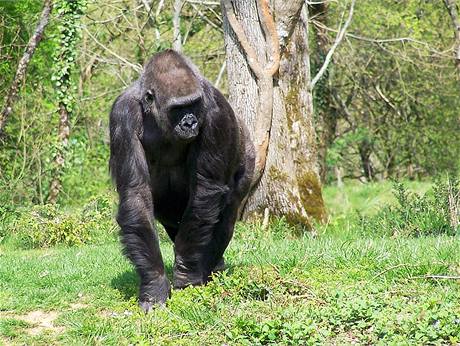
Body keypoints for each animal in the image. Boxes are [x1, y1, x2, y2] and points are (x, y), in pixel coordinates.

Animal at [110, 48, 256, 310]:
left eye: (194, 105)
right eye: (178, 108)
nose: (190, 122)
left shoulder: (215, 112)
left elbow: (206, 189)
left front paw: (187, 275)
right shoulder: (122, 115)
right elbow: (135, 192)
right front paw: (154, 284)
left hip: (248, 156)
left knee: (226, 211)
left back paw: (211, 268)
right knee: (171, 217)